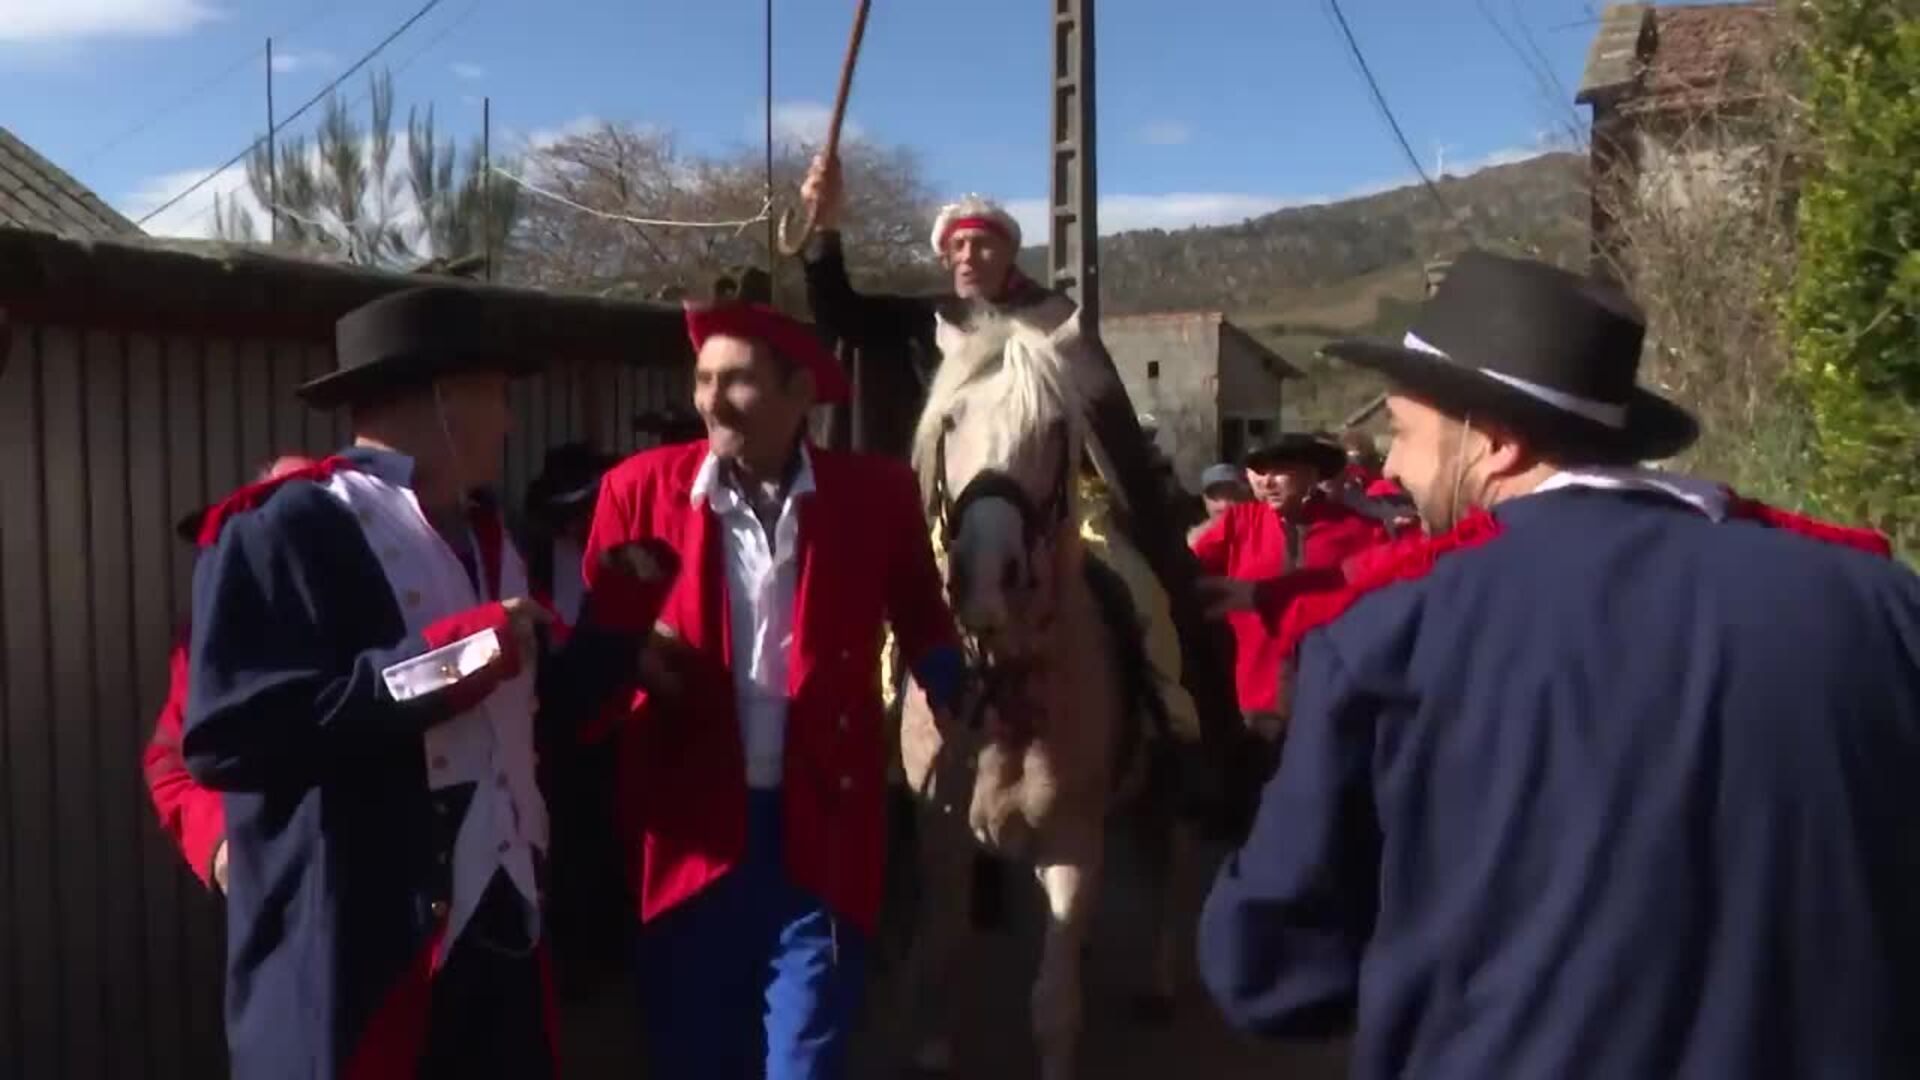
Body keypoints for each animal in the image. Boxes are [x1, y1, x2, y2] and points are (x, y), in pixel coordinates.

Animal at [894, 309, 1167, 1076]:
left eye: (1053, 428)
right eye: (951, 420)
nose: (986, 576)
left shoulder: (1072, 843)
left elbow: (1053, 1006)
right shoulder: (943, 837)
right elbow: (943, 948)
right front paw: (932, 1048)